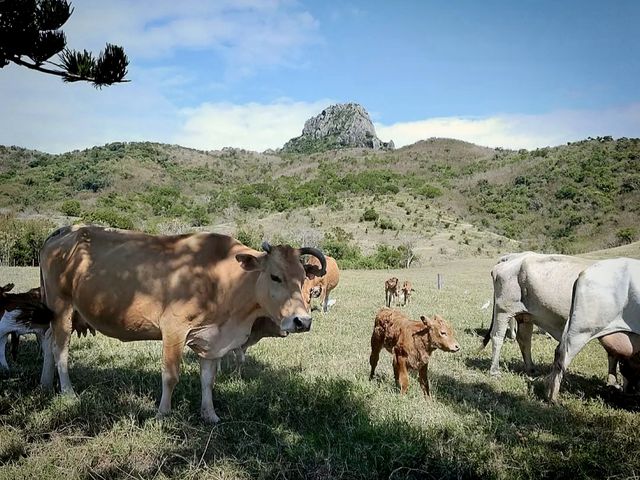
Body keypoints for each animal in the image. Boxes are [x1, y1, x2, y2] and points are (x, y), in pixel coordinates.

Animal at [38, 224, 324, 420]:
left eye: (303, 278)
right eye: (275, 276)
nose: (302, 321)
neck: (222, 280)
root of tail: (67, 230)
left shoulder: (212, 341)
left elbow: (208, 379)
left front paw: (210, 414)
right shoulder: (174, 329)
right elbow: (170, 375)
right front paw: (163, 413)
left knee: (48, 342)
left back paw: (45, 382)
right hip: (62, 308)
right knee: (60, 350)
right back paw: (68, 392)